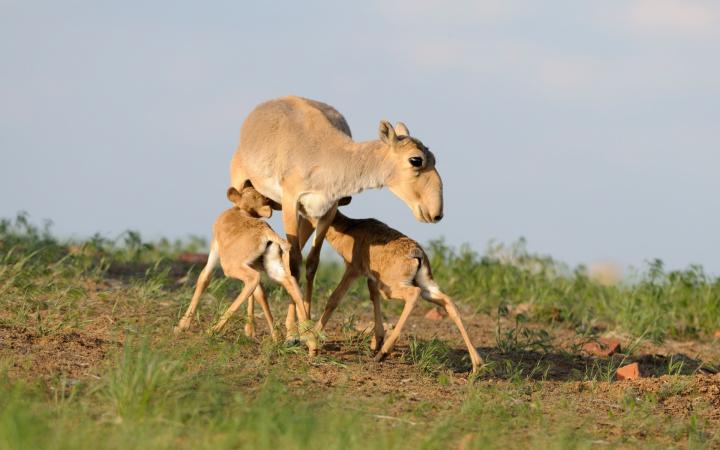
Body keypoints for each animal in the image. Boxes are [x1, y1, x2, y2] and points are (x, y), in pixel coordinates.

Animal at [173, 185, 316, 354]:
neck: (239, 210)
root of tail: (266, 231)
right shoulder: (254, 264)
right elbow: (260, 294)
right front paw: (276, 338)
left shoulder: (215, 248)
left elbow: (204, 278)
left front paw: (182, 326)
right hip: (273, 268)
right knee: (290, 283)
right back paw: (311, 344)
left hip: (231, 267)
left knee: (252, 279)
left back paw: (213, 331)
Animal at [231, 96, 444, 328]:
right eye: (416, 160)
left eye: (435, 158)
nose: (437, 213)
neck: (326, 155)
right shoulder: (290, 203)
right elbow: (294, 264)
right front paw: (300, 327)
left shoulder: (326, 211)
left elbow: (311, 264)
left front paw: (303, 326)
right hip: (241, 188)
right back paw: (250, 327)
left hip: (305, 217)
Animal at [314, 211, 478, 372]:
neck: (350, 228)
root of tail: (417, 254)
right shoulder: (372, 278)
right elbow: (373, 295)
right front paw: (376, 341)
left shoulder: (353, 270)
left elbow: (334, 298)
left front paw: (311, 336)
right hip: (427, 287)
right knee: (448, 302)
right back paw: (477, 365)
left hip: (391, 289)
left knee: (414, 293)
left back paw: (383, 353)